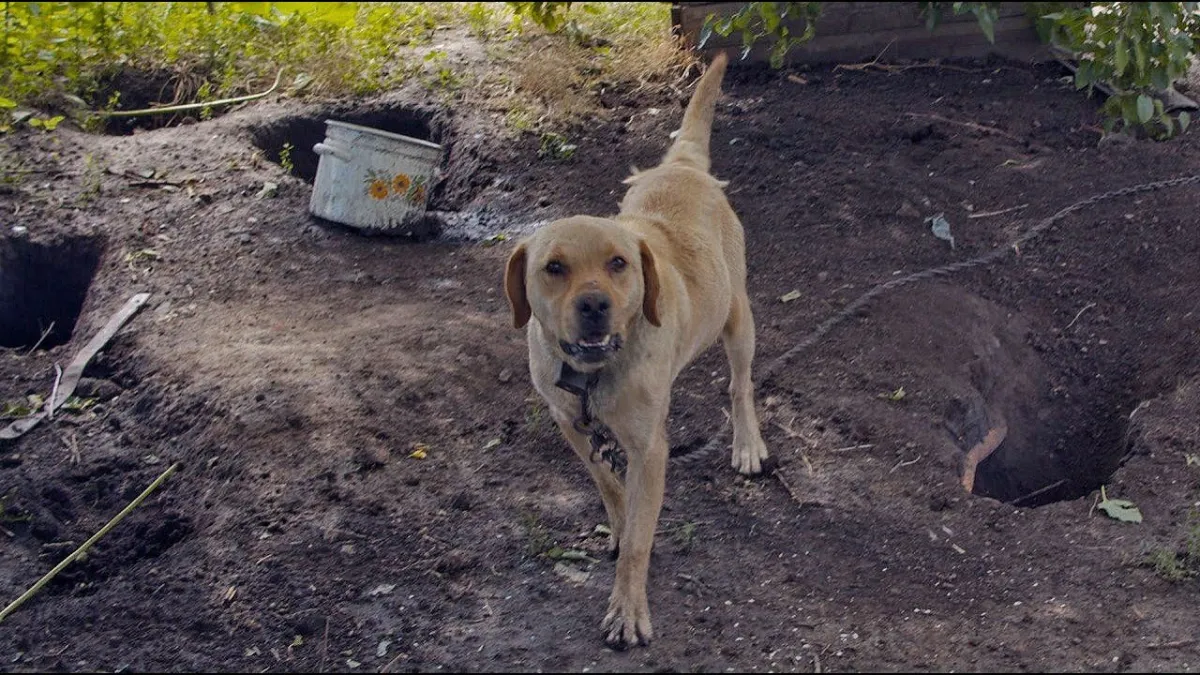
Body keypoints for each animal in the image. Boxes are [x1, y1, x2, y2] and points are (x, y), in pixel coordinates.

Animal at [504, 53, 768, 648]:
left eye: (618, 263)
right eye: (554, 267)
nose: (595, 304)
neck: (595, 372)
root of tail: (685, 166)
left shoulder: (650, 449)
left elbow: (641, 540)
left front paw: (628, 607)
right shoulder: (571, 425)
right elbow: (610, 484)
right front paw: (622, 522)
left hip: (738, 318)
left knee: (740, 385)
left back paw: (747, 443)